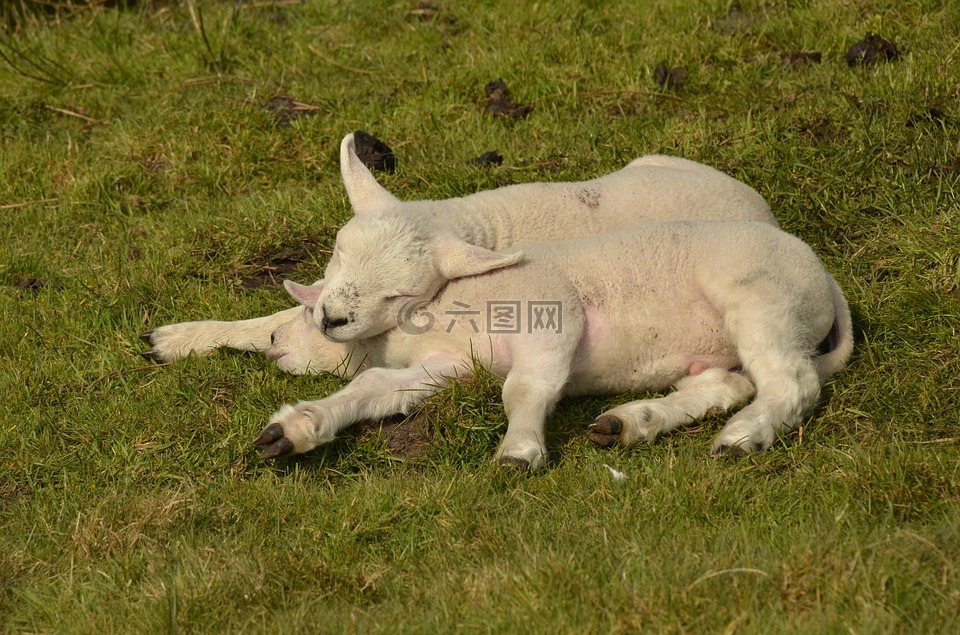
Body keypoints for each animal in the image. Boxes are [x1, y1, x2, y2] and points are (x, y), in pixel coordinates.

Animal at [142, 132, 776, 376]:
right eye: (338, 252)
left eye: (400, 294)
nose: (334, 318)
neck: (469, 221)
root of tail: (759, 204)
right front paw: (180, 338)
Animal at [253, 216, 848, 470]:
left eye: (306, 307)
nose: (275, 339)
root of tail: (824, 278)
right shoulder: (449, 364)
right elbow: (376, 385)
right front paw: (295, 428)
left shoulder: (550, 312)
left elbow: (525, 388)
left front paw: (519, 451)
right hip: (723, 347)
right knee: (726, 384)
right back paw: (632, 421)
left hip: (760, 294)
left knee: (792, 382)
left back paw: (745, 436)